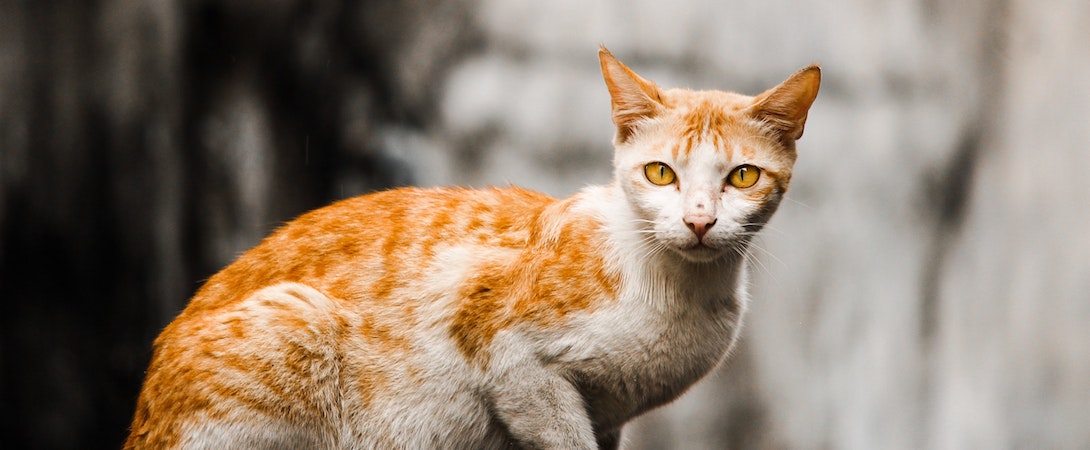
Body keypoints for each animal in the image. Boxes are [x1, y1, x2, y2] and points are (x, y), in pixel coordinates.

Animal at [123, 47, 819, 446]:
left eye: (742, 177)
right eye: (660, 173)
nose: (700, 221)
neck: (679, 293)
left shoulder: (611, 416)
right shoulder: (504, 348)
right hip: (295, 322)